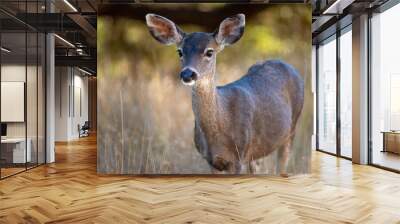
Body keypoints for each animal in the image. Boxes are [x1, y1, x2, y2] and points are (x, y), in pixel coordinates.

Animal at [145, 13, 304, 176]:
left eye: (209, 52)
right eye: (180, 52)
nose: (188, 74)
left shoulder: (239, 156)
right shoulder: (211, 160)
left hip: (291, 129)